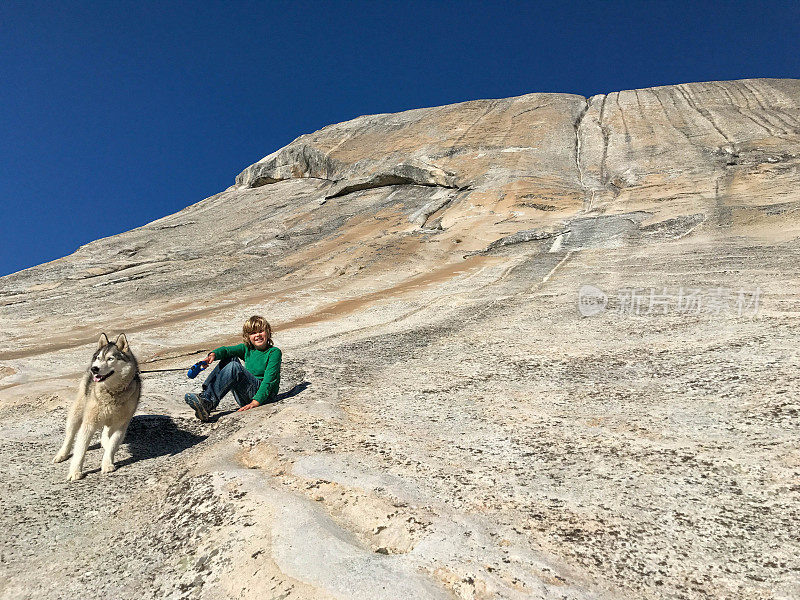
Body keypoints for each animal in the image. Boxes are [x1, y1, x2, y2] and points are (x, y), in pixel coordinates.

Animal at [53, 336, 141, 480]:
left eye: (110, 358)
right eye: (99, 358)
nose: (94, 369)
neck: (112, 392)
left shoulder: (121, 424)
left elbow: (112, 445)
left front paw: (107, 463)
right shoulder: (89, 424)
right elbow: (80, 449)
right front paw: (75, 471)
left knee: (106, 433)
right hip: (77, 412)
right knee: (70, 436)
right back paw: (62, 454)